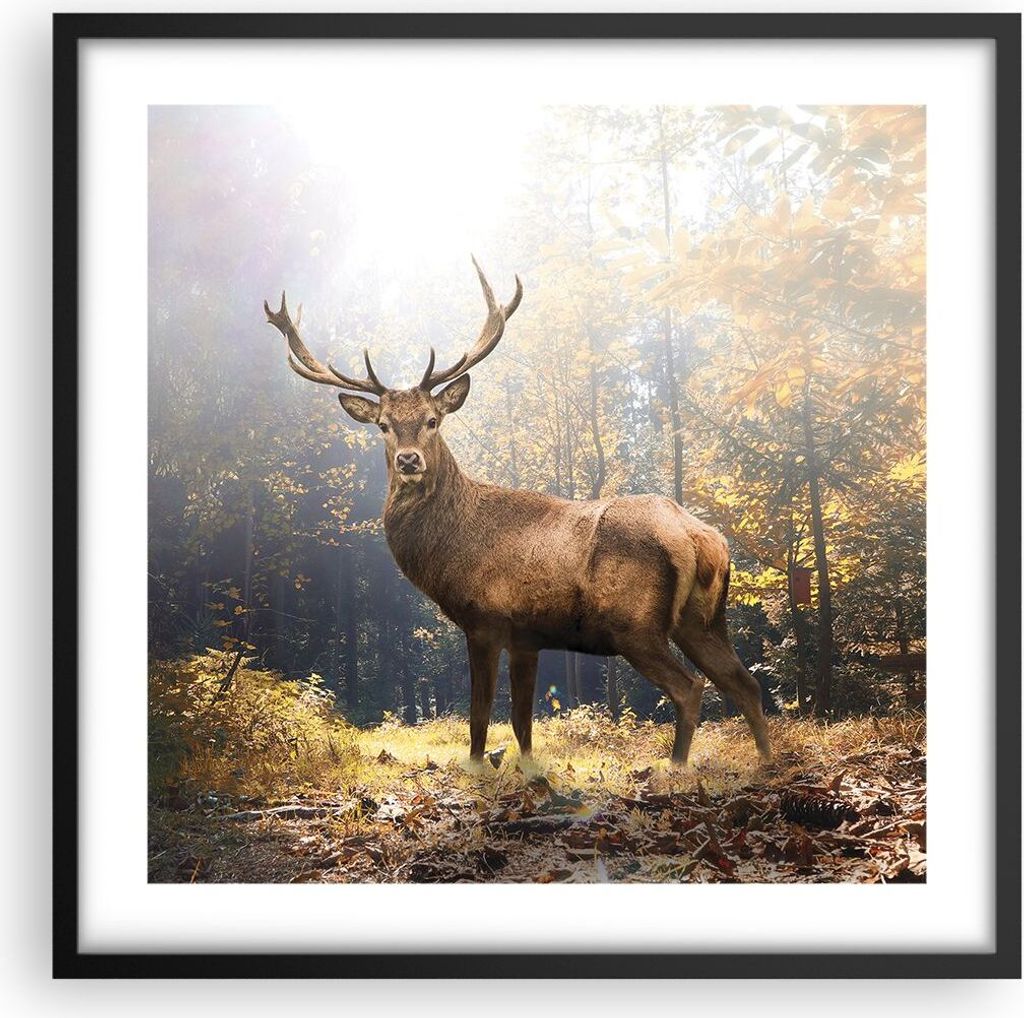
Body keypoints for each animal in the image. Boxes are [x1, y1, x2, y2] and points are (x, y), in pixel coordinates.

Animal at [264, 259, 771, 766]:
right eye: (384, 426)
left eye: (432, 420)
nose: (409, 460)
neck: (450, 549)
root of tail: (701, 537)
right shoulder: (528, 636)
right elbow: (523, 721)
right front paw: (527, 768)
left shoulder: (485, 619)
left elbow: (480, 715)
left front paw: (476, 768)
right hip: (702, 619)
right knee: (746, 683)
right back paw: (766, 761)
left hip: (636, 623)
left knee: (691, 688)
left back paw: (676, 767)